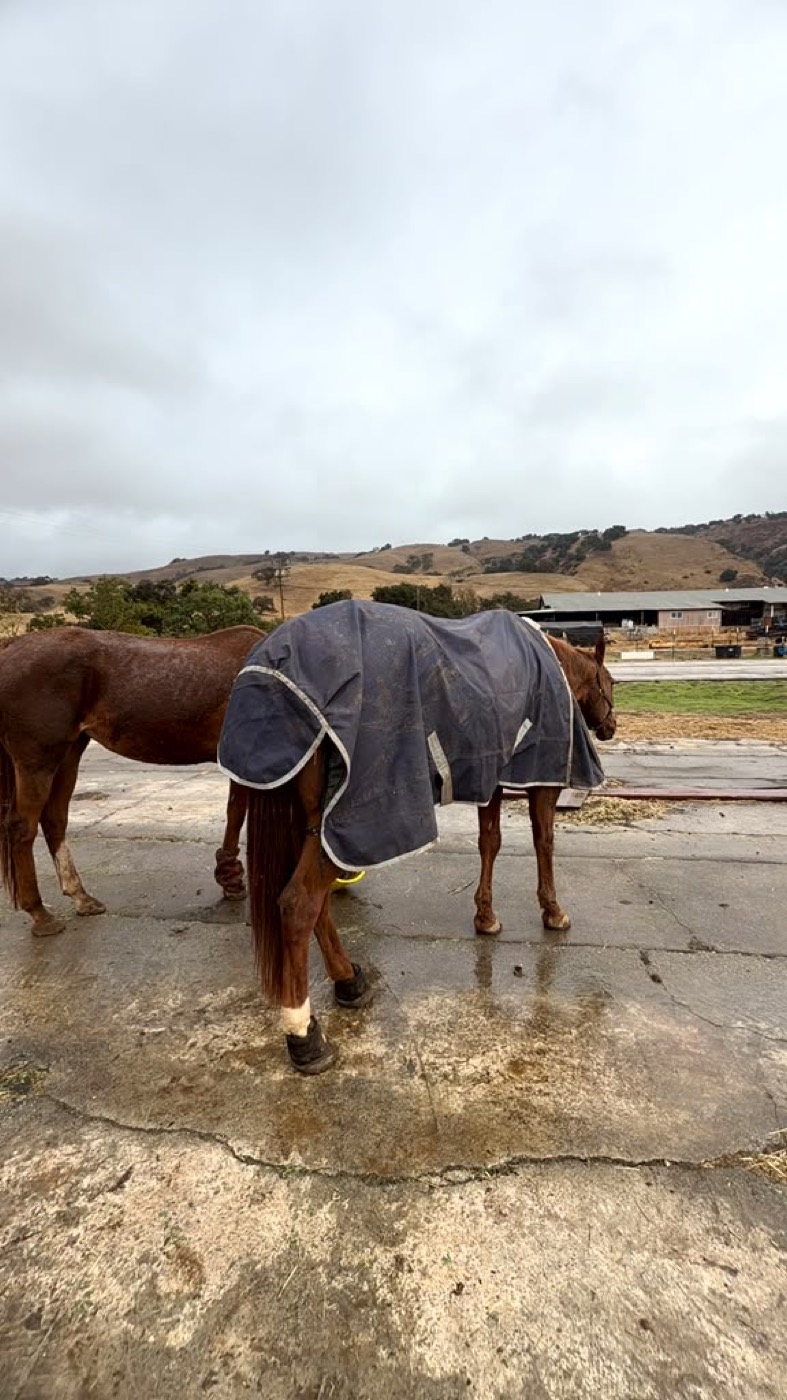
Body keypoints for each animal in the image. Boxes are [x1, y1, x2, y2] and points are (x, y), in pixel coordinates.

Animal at [0, 624, 263, 936]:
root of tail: (11, 648)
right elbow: (239, 817)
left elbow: (235, 814)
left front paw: (231, 881)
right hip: (38, 760)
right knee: (22, 827)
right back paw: (40, 914)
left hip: (69, 753)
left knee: (54, 819)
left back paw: (81, 897)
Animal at [218, 600, 616, 1074]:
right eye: (610, 683)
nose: (611, 726)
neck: (547, 665)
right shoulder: (540, 778)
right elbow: (544, 842)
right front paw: (552, 912)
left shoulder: (491, 776)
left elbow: (490, 842)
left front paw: (485, 916)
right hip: (348, 819)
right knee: (298, 906)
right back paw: (304, 1034)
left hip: (317, 822)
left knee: (315, 906)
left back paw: (349, 981)